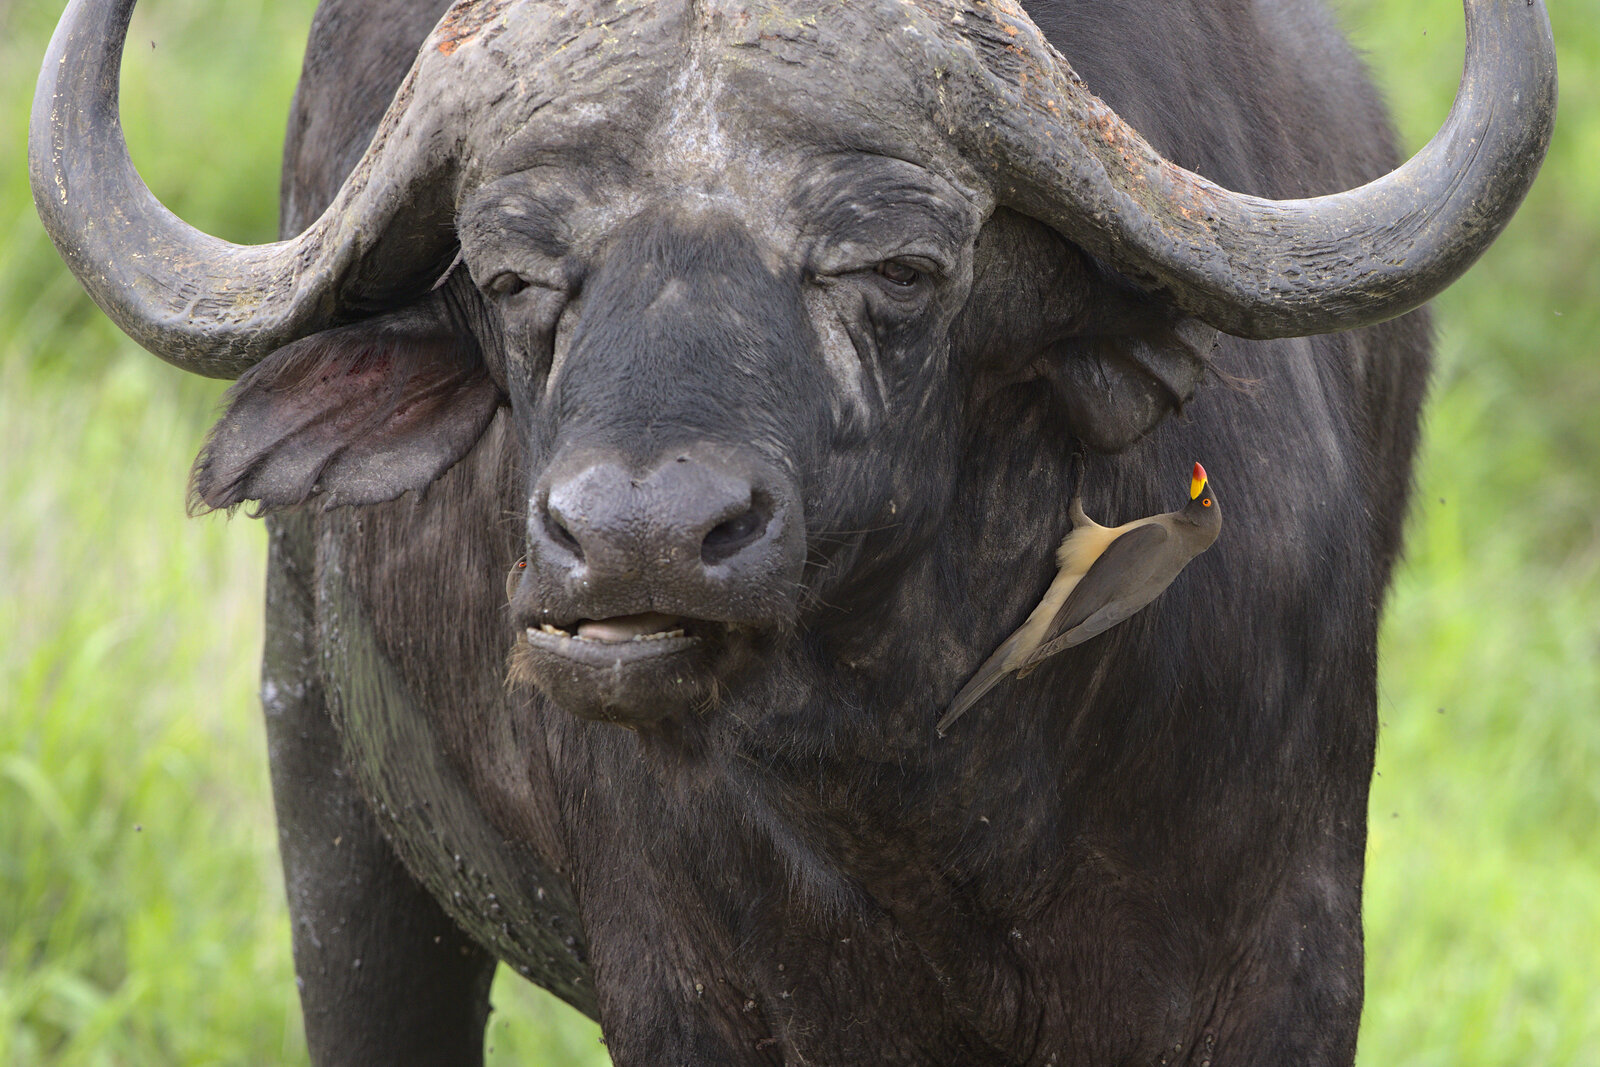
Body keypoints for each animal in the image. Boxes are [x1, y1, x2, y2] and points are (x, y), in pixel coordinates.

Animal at [31, 0, 1554, 1062]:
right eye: (516, 275)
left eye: (899, 265)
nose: (639, 538)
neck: (935, 787)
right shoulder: (701, 988)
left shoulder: (1285, 956)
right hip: (334, 805)